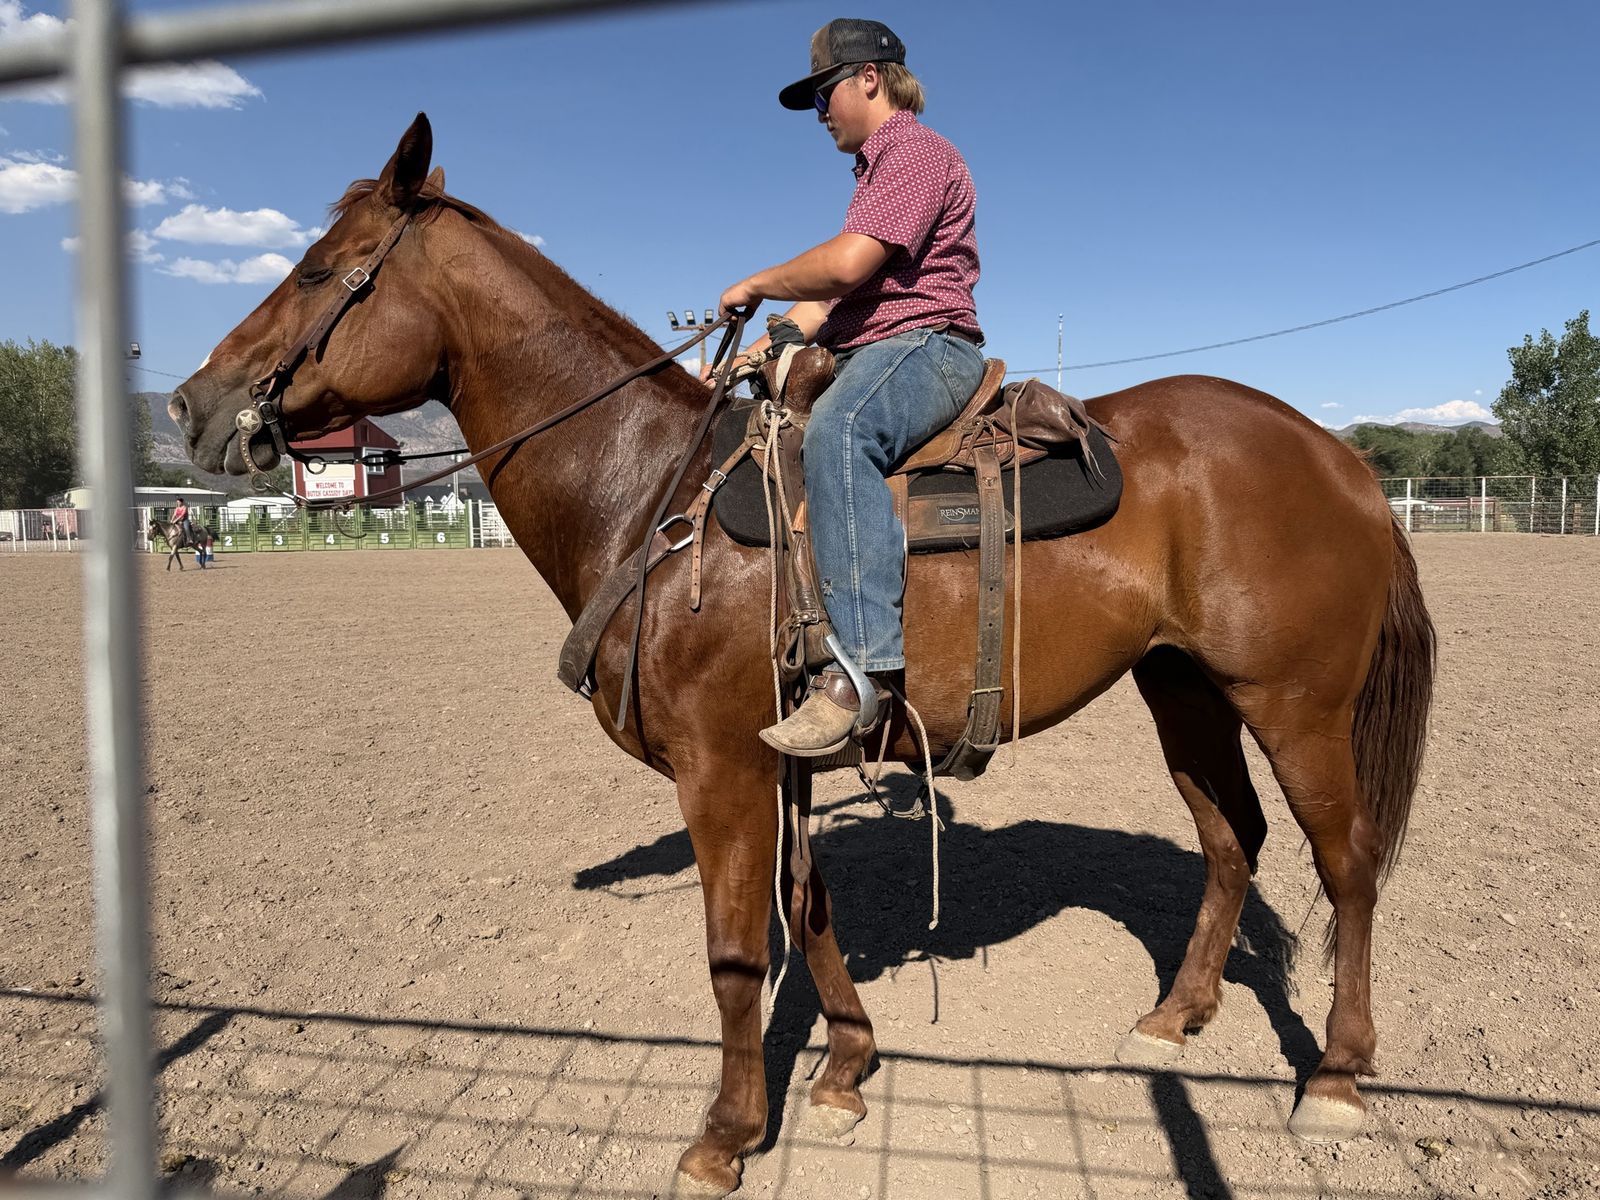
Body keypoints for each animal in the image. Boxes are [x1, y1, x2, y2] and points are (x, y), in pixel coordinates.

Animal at [167, 114, 1435, 1196]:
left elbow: (737, 951)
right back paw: (1176, 1015)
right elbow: (805, 902)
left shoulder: (718, 767)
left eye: (324, 270)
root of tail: (1339, 458)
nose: (189, 404)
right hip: (1184, 688)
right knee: (1232, 838)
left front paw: (726, 1134)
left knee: (1345, 860)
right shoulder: (774, 762)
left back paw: (1334, 1076)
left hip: (1295, 701)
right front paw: (845, 1066)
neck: (650, 491)